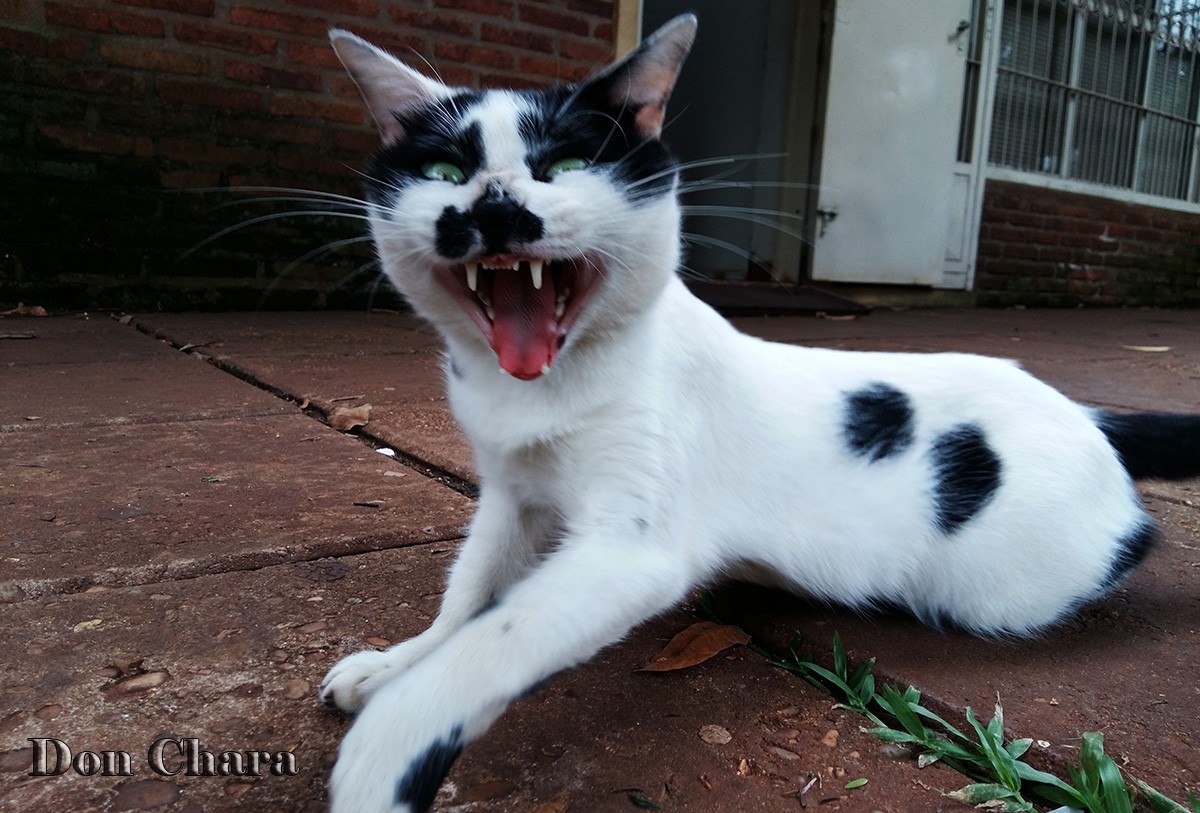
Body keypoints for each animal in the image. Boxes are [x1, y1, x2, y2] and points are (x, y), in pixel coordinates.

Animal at [314, 14, 1195, 813]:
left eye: (566, 162)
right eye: (441, 167)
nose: (495, 208)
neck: (542, 389)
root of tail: (1090, 413)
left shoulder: (631, 551)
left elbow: (494, 640)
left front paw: (389, 744)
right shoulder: (512, 498)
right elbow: (468, 598)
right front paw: (400, 662)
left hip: (1004, 584)